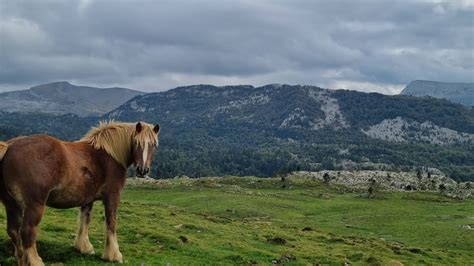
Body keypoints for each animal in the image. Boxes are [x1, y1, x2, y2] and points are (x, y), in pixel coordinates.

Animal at [0, 121, 161, 264]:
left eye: (153, 144)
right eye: (137, 142)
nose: (143, 170)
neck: (109, 155)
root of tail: (10, 146)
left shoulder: (87, 199)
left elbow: (85, 220)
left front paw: (83, 247)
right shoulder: (112, 196)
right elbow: (111, 223)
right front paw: (114, 255)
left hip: (11, 205)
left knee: (14, 231)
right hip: (34, 206)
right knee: (27, 233)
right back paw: (35, 261)